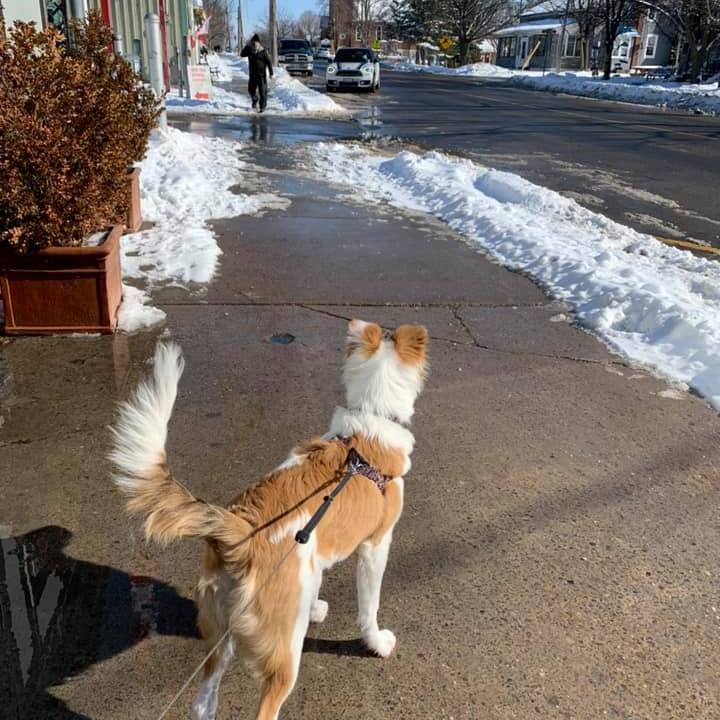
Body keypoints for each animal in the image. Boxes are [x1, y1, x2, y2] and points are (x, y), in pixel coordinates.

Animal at [110, 319, 428, 720]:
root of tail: (242, 534)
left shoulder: (313, 552)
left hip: (221, 634)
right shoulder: (376, 545)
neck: (368, 420)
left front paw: (314, 606)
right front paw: (376, 642)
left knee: (202, 702)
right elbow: (369, 606)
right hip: (283, 654)